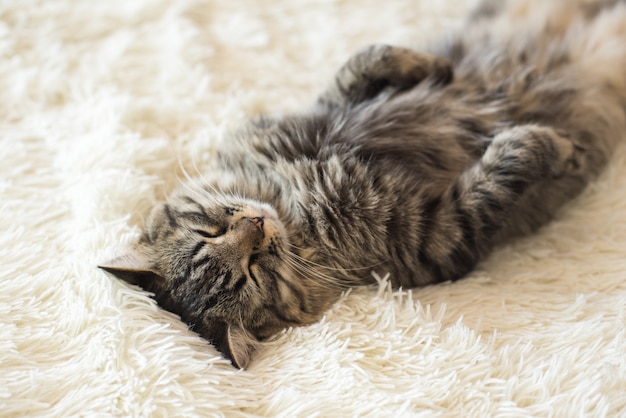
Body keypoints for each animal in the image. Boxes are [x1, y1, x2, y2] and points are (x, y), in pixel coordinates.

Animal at [100, 0, 624, 370]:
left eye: (211, 232)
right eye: (254, 271)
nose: (255, 225)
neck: (294, 203)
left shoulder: (318, 112)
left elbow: (364, 62)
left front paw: (430, 67)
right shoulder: (441, 235)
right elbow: (507, 165)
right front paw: (557, 148)